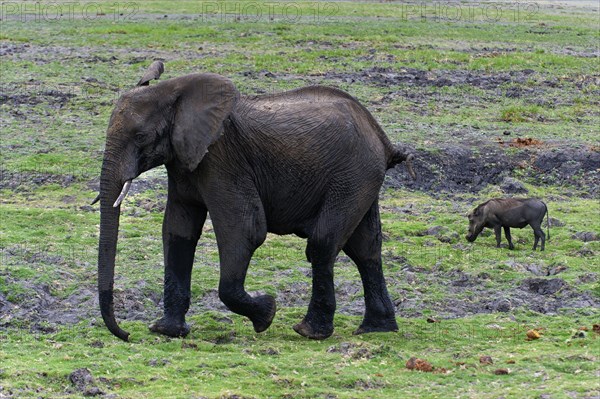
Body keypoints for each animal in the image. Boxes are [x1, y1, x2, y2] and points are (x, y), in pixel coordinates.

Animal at [97, 61, 418, 340]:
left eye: (140, 137)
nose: (126, 335)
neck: (174, 93)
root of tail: (382, 138)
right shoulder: (183, 161)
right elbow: (178, 231)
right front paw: (167, 331)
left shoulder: (222, 160)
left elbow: (245, 231)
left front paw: (267, 314)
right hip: (361, 178)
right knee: (365, 249)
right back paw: (376, 329)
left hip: (353, 176)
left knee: (323, 243)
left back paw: (310, 332)